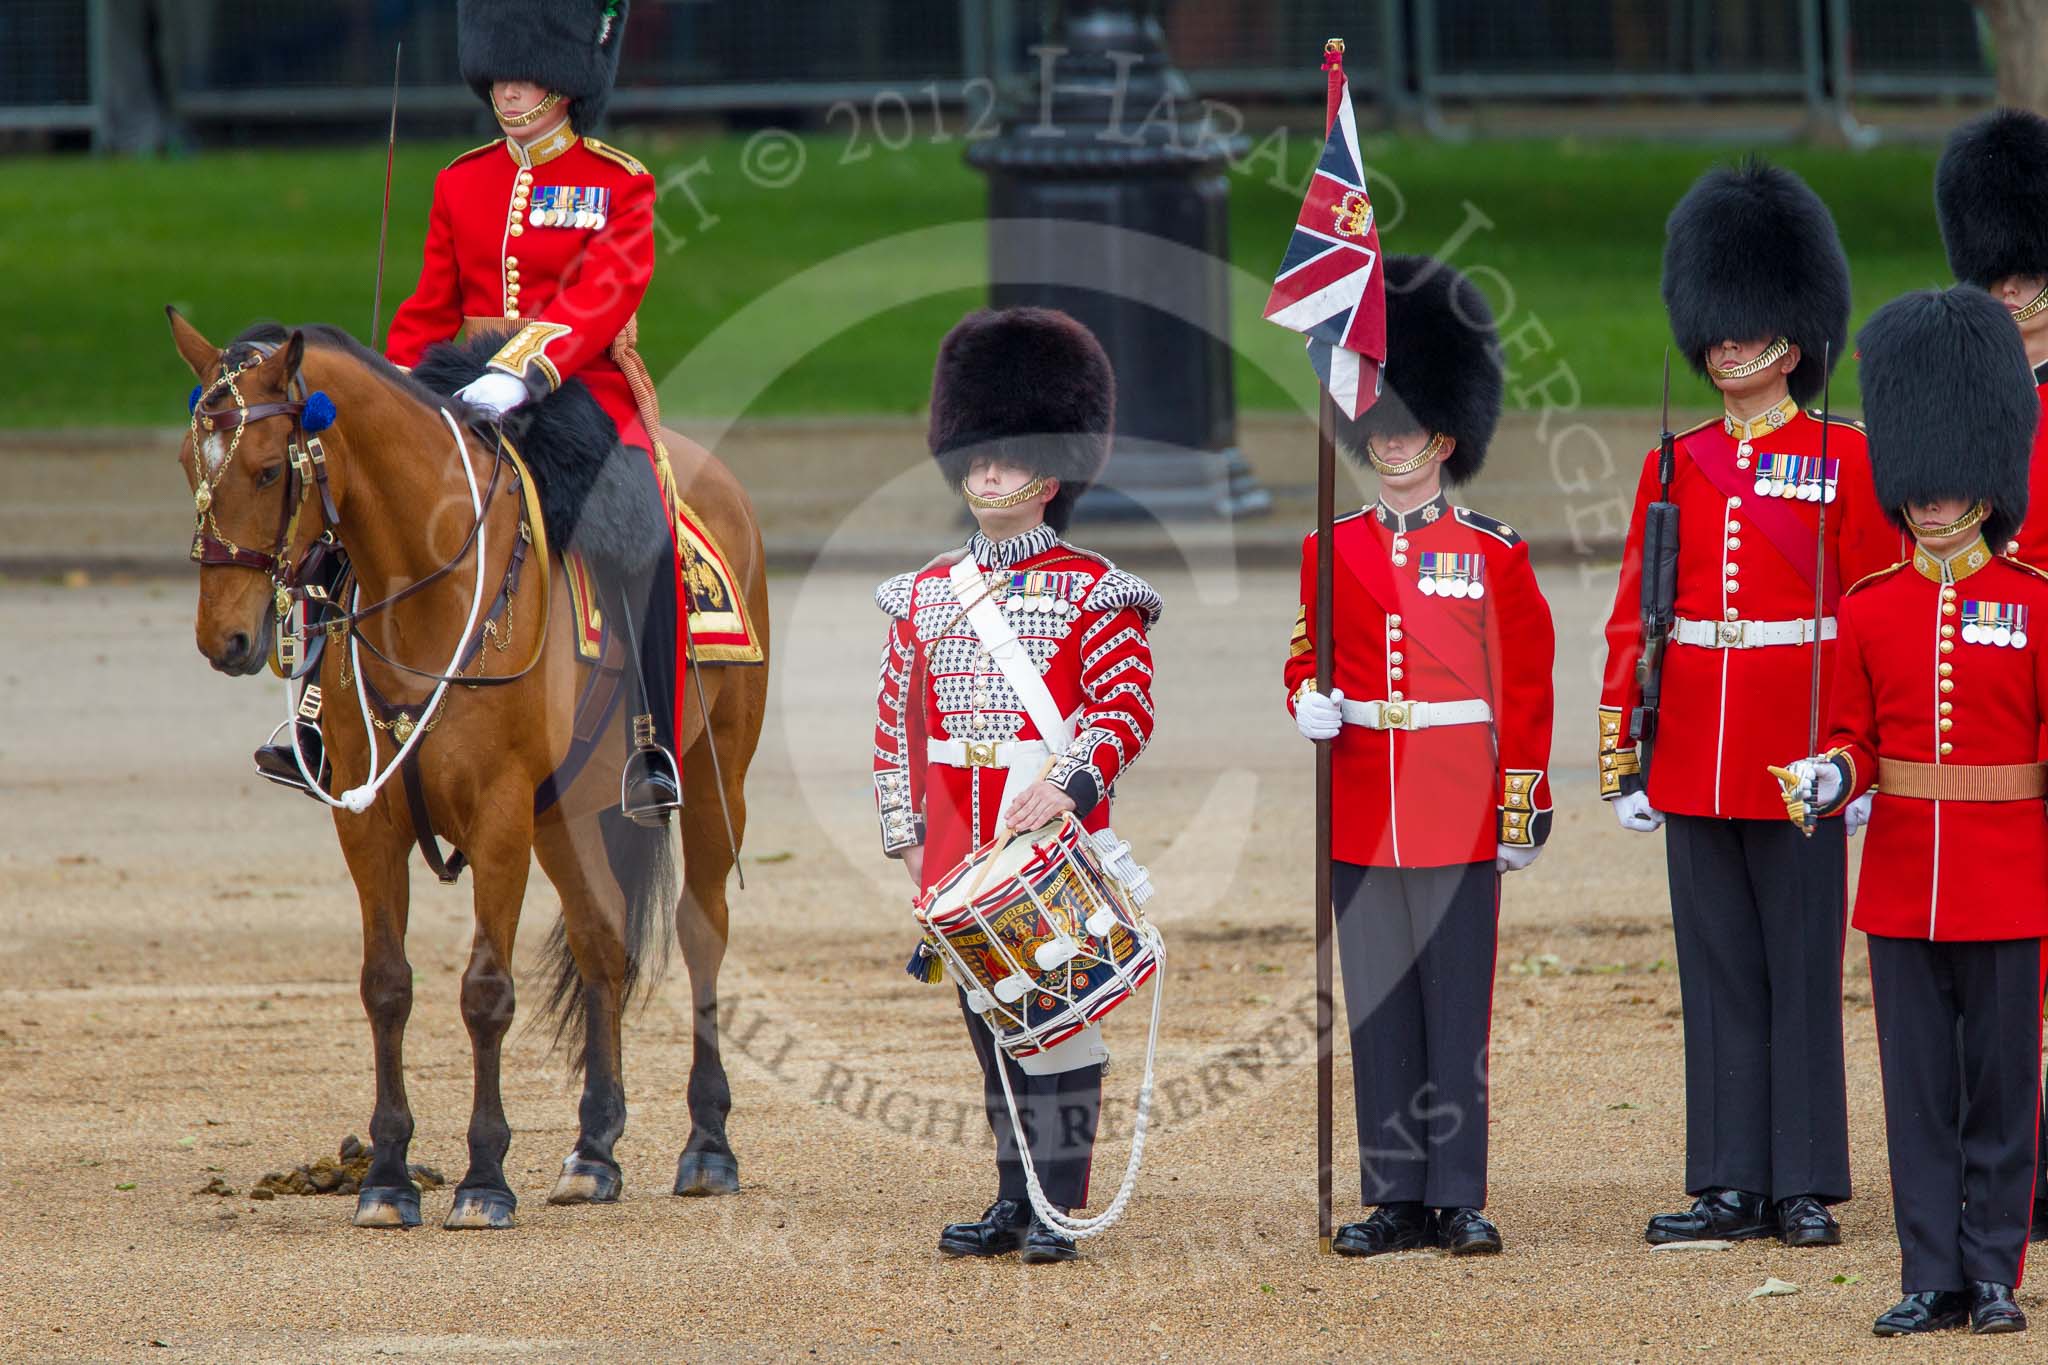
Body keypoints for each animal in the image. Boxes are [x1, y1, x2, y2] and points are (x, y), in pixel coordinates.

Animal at [167, 315, 770, 1236]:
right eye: (186, 466)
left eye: (268, 468)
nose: (223, 639)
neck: (425, 591)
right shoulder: (366, 819)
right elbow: (386, 986)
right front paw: (387, 1175)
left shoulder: (499, 816)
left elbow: (486, 990)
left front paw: (484, 1176)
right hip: (567, 812)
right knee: (602, 945)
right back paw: (593, 1151)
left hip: (708, 777)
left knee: (700, 933)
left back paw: (707, 1145)